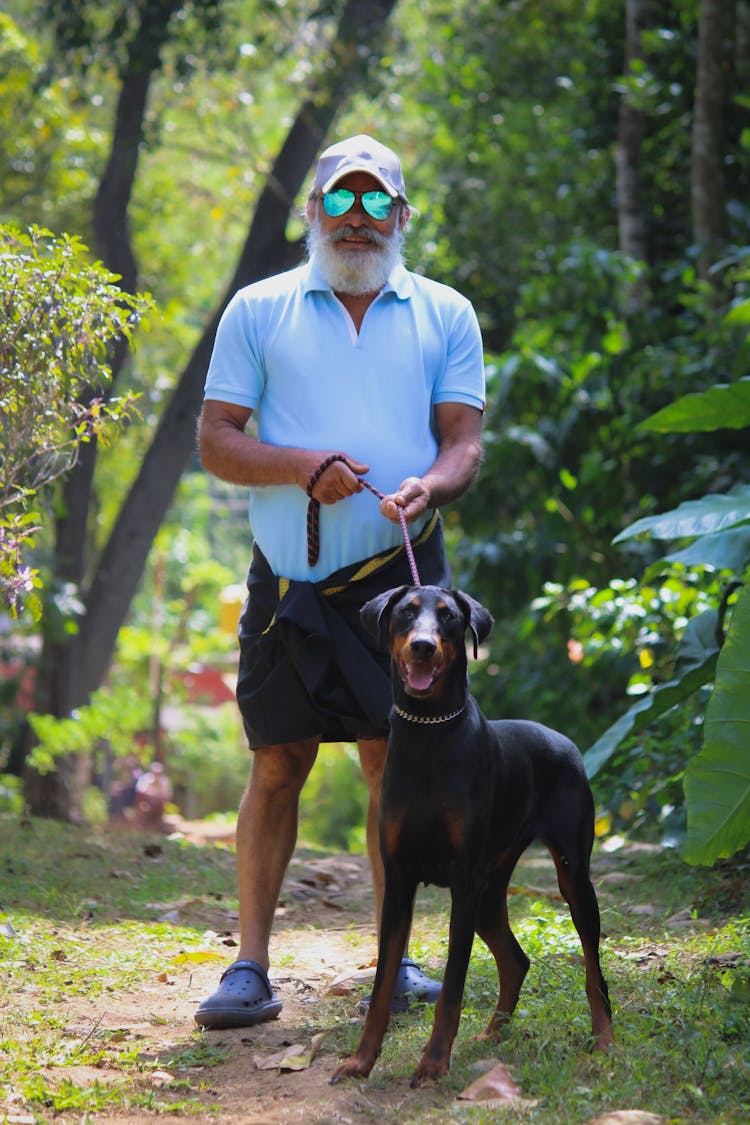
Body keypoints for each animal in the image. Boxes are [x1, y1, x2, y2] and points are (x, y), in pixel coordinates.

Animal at [335, 585, 616, 1084]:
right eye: (406, 613)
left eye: (448, 617)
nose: (423, 646)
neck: (428, 734)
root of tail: (564, 740)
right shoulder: (399, 880)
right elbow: (384, 983)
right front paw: (361, 1061)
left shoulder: (463, 884)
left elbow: (452, 988)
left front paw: (432, 1063)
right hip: (489, 892)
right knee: (516, 960)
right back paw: (489, 1036)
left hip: (568, 879)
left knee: (591, 968)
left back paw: (603, 1041)